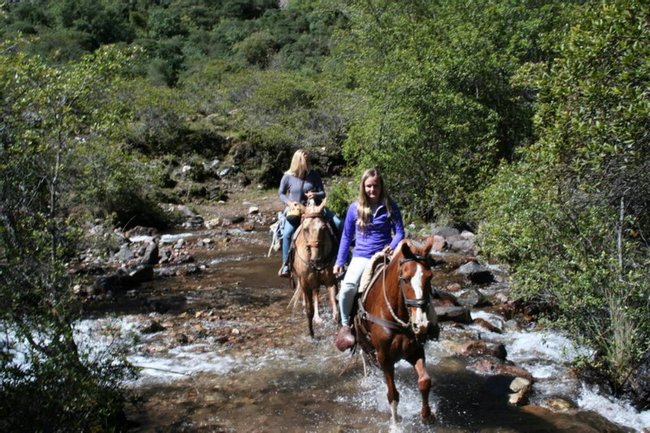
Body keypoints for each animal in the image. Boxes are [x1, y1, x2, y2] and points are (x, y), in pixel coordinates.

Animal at [288, 199, 340, 338]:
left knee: (316, 293)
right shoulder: (305, 283)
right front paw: (311, 334)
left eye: (323, 228)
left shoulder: (331, 281)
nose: (316, 260)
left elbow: (336, 310)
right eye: (305, 229)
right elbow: (309, 311)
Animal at [352, 236, 438, 422]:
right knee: (365, 359)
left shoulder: (415, 351)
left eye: (430, 277)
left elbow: (425, 381)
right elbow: (393, 395)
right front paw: (395, 423)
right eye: (405, 278)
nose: (420, 323)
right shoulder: (384, 357)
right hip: (364, 343)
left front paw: (426, 415)